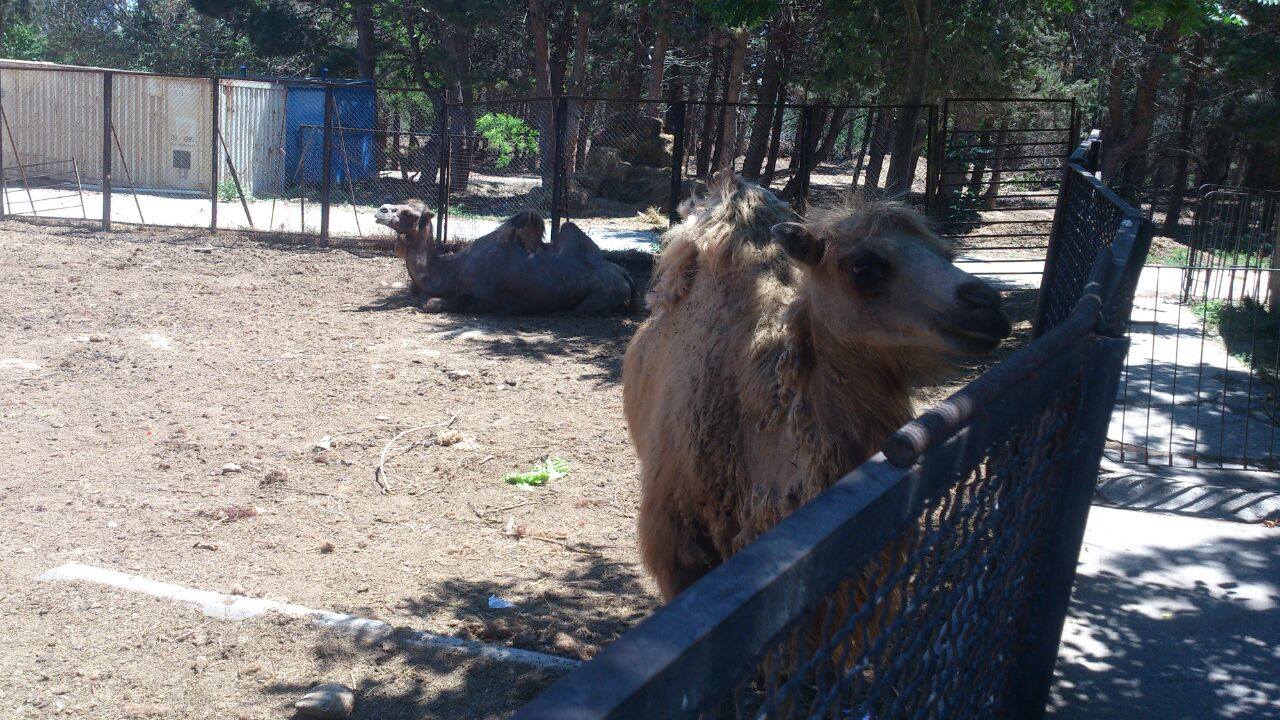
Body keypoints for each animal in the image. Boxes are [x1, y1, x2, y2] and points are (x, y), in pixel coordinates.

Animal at [373, 201, 638, 315]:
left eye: (409, 213)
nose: (381, 210)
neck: (452, 271)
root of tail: (624, 274)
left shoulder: (488, 299)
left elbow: (431, 303)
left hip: (600, 295)